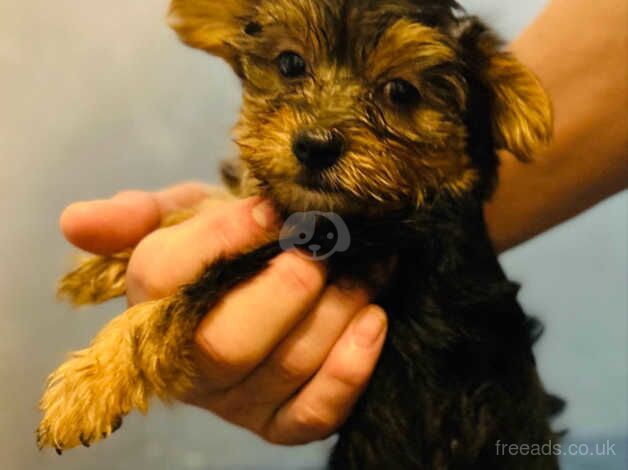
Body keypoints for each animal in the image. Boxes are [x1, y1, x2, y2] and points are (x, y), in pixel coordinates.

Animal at [38, 1, 564, 468]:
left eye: (401, 92)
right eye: (291, 63)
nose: (314, 146)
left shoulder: (361, 245)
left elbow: (200, 283)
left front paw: (91, 382)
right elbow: (210, 209)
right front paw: (104, 262)